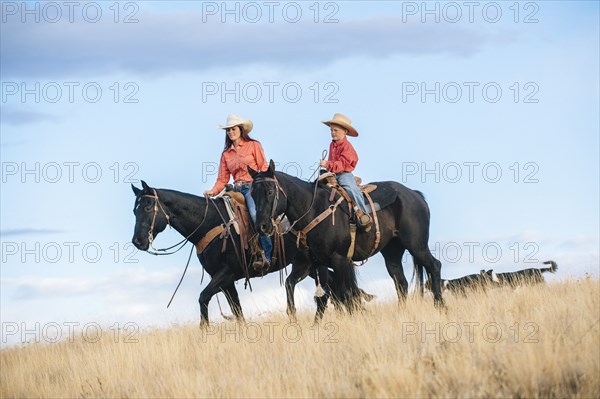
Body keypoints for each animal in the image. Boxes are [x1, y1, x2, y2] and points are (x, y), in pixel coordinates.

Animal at [131, 181, 366, 324]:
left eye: (148, 207)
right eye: (135, 210)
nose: (138, 241)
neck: (209, 223)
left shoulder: (225, 274)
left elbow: (203, 298)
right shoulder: (225, 281)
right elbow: (237, 311)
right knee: (334, 287)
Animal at [250, 161, 446, 320]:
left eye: (270, 191)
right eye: (252, 194)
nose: (262, 226)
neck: (312, 209)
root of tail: (415, 195)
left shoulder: (340, 261)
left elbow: (347, 295)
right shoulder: (307, 263)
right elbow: (291, 285)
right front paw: (294, 319)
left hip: (416, 245)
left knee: (434, 266)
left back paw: (440, 306)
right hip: (392, 252)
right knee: (401, 282)